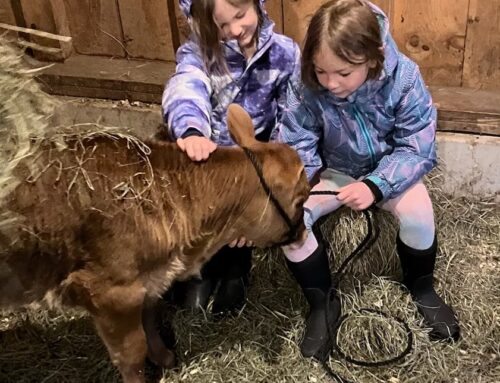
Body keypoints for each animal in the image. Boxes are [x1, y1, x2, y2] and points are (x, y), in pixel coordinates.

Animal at [0, 103, 310, 382]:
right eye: (301, 199)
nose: (304, 234)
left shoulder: (148, 280)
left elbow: (150, 319)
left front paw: (164, 358)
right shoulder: (110, 291)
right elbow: (132, 355)